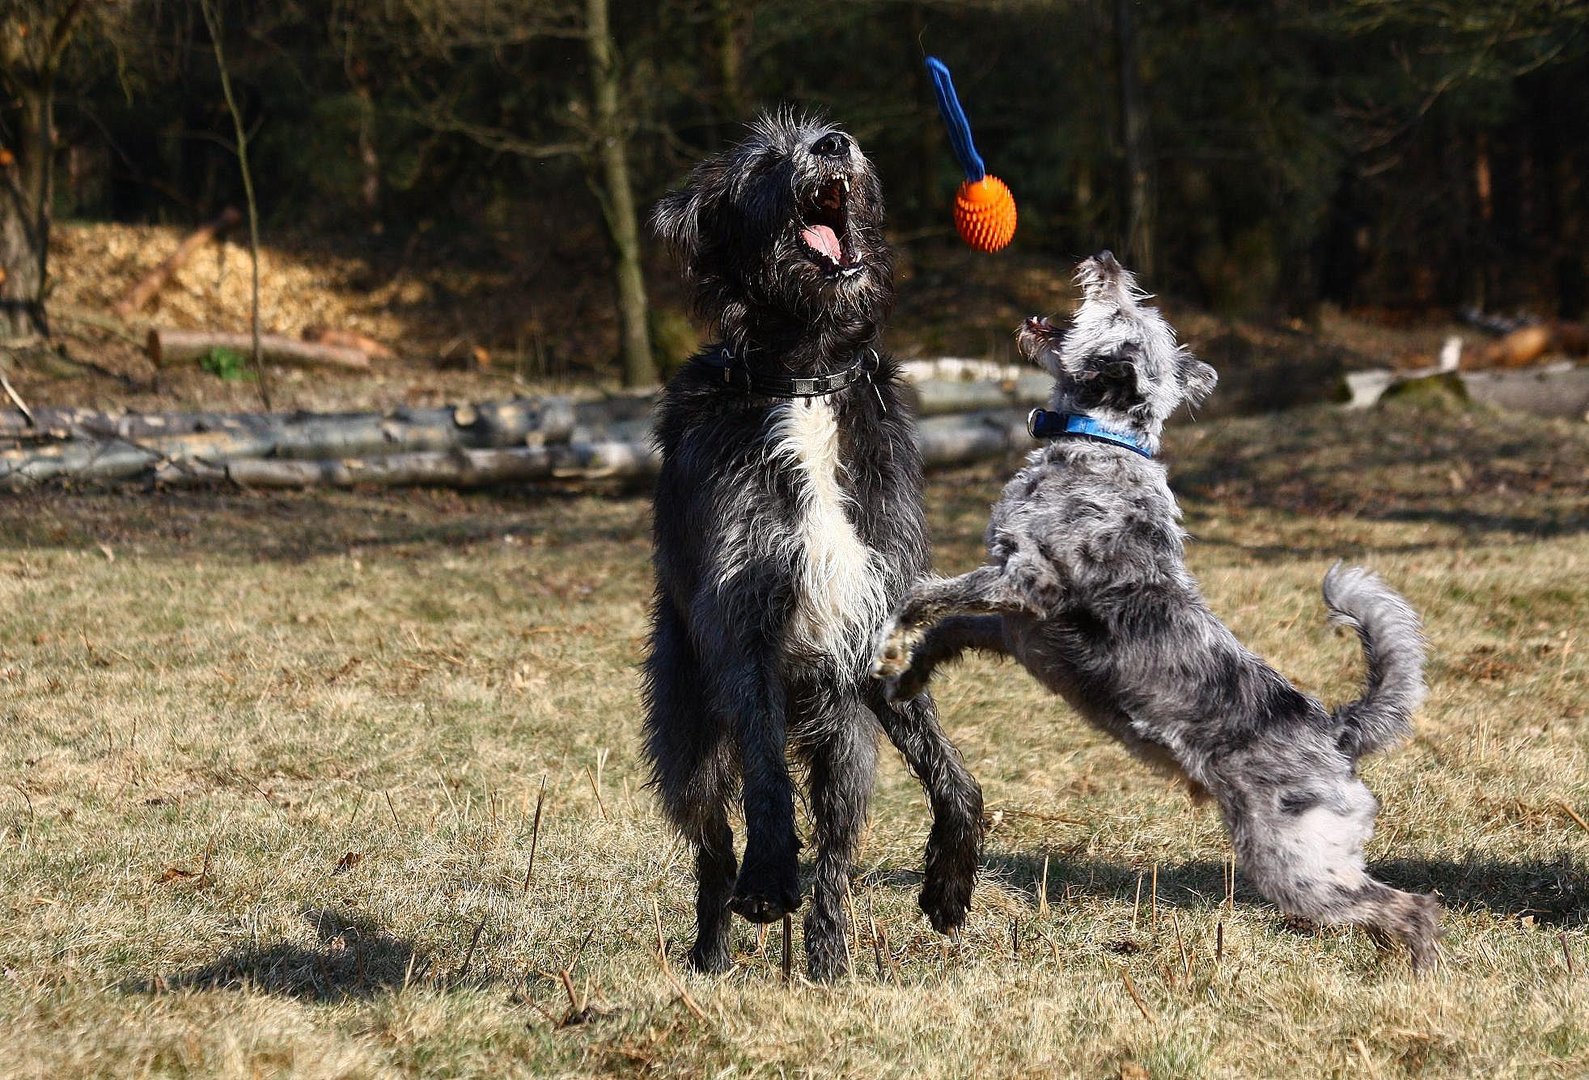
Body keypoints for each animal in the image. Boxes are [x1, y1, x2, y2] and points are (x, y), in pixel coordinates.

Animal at [638, 111, 985, 978]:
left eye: (830, 132)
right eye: (764, 161)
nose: (833, 145)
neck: (806, 379)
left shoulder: (880, 622)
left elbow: (955, 780)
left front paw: (949, 879)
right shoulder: (745, 624)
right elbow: (766, 778)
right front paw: (768, 877)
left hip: (845, 746)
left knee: (834, 859)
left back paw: (828, 963)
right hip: (688, 742)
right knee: (712, 848)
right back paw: (710, 954)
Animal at [870, 255, 1442, 972]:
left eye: (1123, 310)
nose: (1108, 261)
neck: (1101, 443)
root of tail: (1335, 730)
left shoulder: (1024, 584)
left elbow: (926, 594)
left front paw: (888, 639)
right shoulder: (1009, 624)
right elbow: (947, 626)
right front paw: (908, 674)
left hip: (1292, 865)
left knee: (1413, 907)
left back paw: (1419, 973)